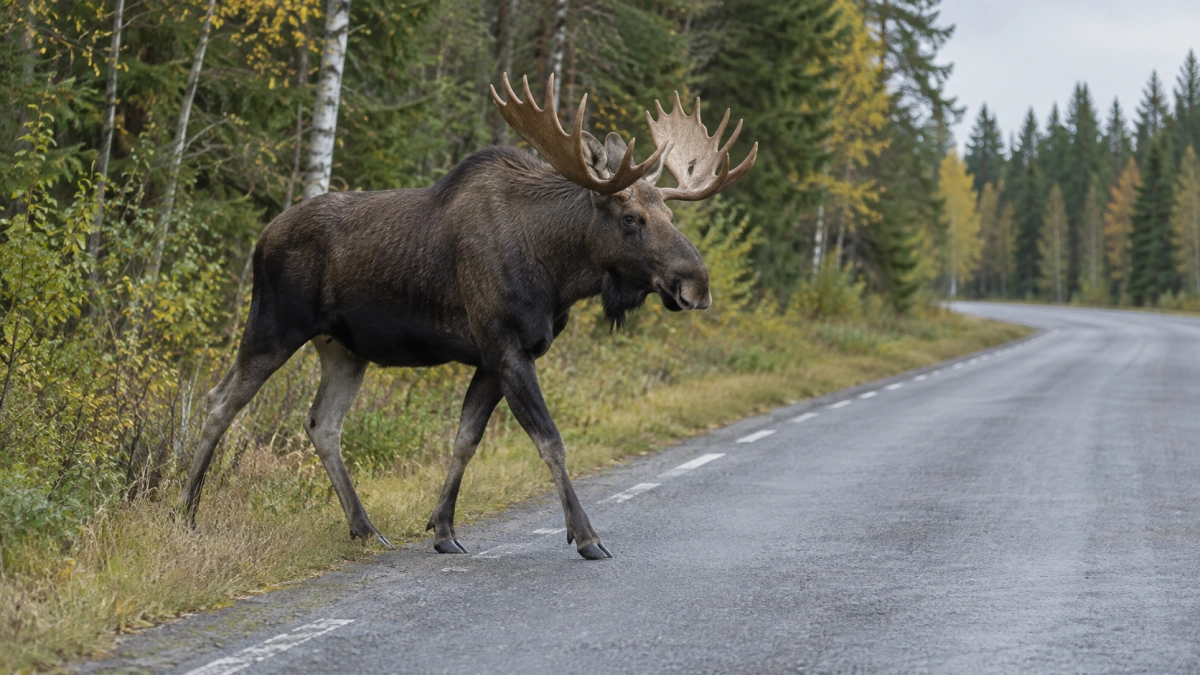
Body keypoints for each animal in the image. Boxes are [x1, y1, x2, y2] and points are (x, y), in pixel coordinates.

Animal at [179, 74, 756, 560]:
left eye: (670, 212)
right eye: (632, 217)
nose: (697, 284)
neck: (557, 271)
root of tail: (261, 238)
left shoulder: (492, 357)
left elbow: (464, 440)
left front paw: (443, 529)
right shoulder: (505, 345)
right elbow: (550, 441)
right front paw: (586, 535)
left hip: (343, 348)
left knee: (323, 424)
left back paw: (365, 527)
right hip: (274, 325)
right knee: (220, 401)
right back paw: (184, 513)